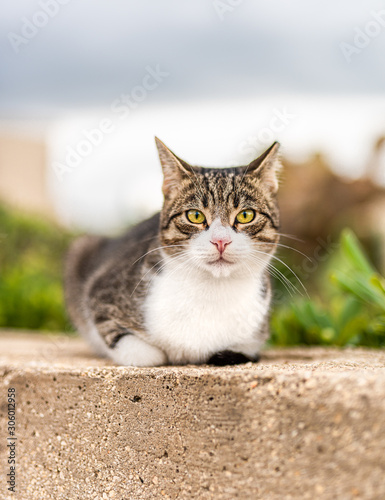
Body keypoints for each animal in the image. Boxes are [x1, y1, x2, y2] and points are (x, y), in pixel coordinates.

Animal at [63, 138, 280, 368]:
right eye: (195, 215)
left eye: (246, 215)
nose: (220, 241)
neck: (211, 288)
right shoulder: (100, 294)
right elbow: (145, 353)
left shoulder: (254, 338)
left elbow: (245, 350)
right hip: (81, 246)